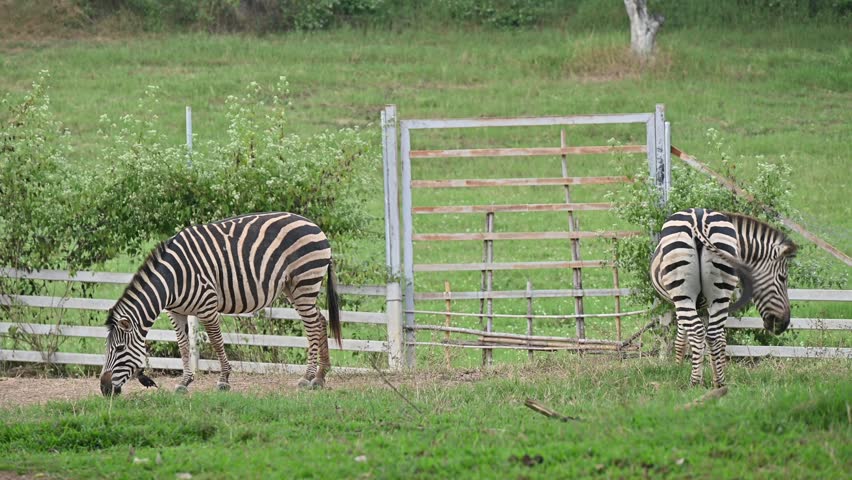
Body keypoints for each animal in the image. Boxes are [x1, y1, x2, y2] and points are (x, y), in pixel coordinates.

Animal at [100, 212, 341, 396]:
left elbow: (216, 342)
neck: (172, 280)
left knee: (312, 325)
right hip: (293, 286)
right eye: (107, 348)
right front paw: (184, 382)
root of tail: (315, 225)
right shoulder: (175, 312)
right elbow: (183, 346)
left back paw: (307, 377)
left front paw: (224, 380)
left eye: (119, 349)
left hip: (304, 281)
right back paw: (320, 377)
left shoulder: (207, 305)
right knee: (320, 320)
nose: (104, 389)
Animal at [650, 208, 797, 387]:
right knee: (711, 335)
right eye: (782, 278)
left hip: (685, 293)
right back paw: (717, 382)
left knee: (699, 333)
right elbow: (710, 338)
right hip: (716, 293)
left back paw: (697, 383)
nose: (783, 324)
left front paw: (682, 369)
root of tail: (698, 221)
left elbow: (686, 338)